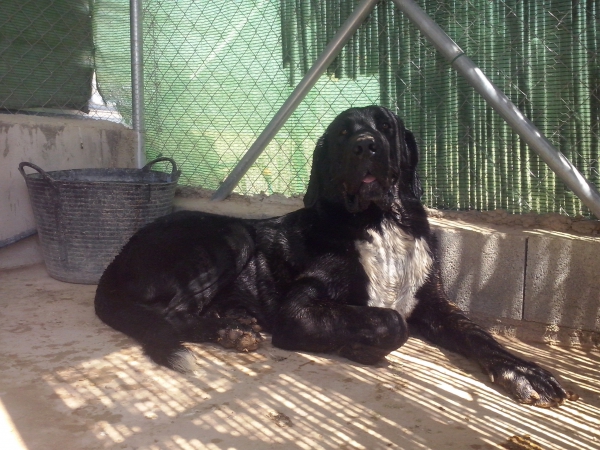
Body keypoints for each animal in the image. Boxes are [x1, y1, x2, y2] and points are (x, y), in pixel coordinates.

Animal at [96, 105, 580, 408]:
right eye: (342, 134)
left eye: (385, 126)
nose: (365, 145)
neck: (380, 221)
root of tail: (114, 264)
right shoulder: (299, 310)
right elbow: (391, 321)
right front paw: (358, 346)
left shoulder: (435, 303)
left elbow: (479, 334)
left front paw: (525, 372)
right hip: (231, 236)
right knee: (169, 315)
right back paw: (228, 330)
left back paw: (232, 324)